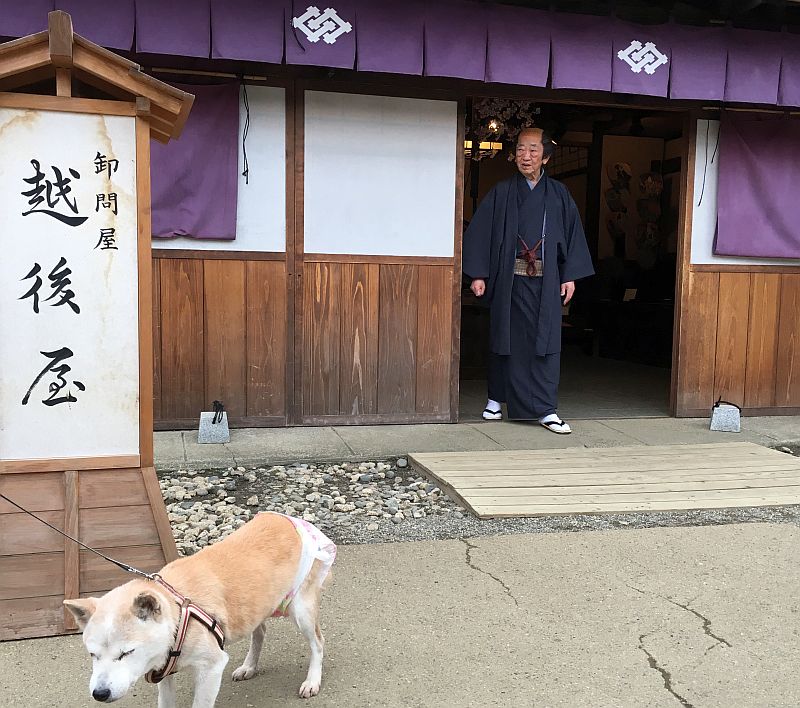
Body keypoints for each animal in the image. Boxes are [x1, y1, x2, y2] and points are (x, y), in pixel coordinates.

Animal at [63, 512, 334, 704]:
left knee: (318, 642)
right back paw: (249, 666)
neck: (178, 612)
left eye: (127, 653)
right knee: (260, 632)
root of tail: (290, 520)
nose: (100, 693)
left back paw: (312, 680)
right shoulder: (163, 674)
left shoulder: (211, 668)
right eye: (92, 654)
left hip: (301, 609)